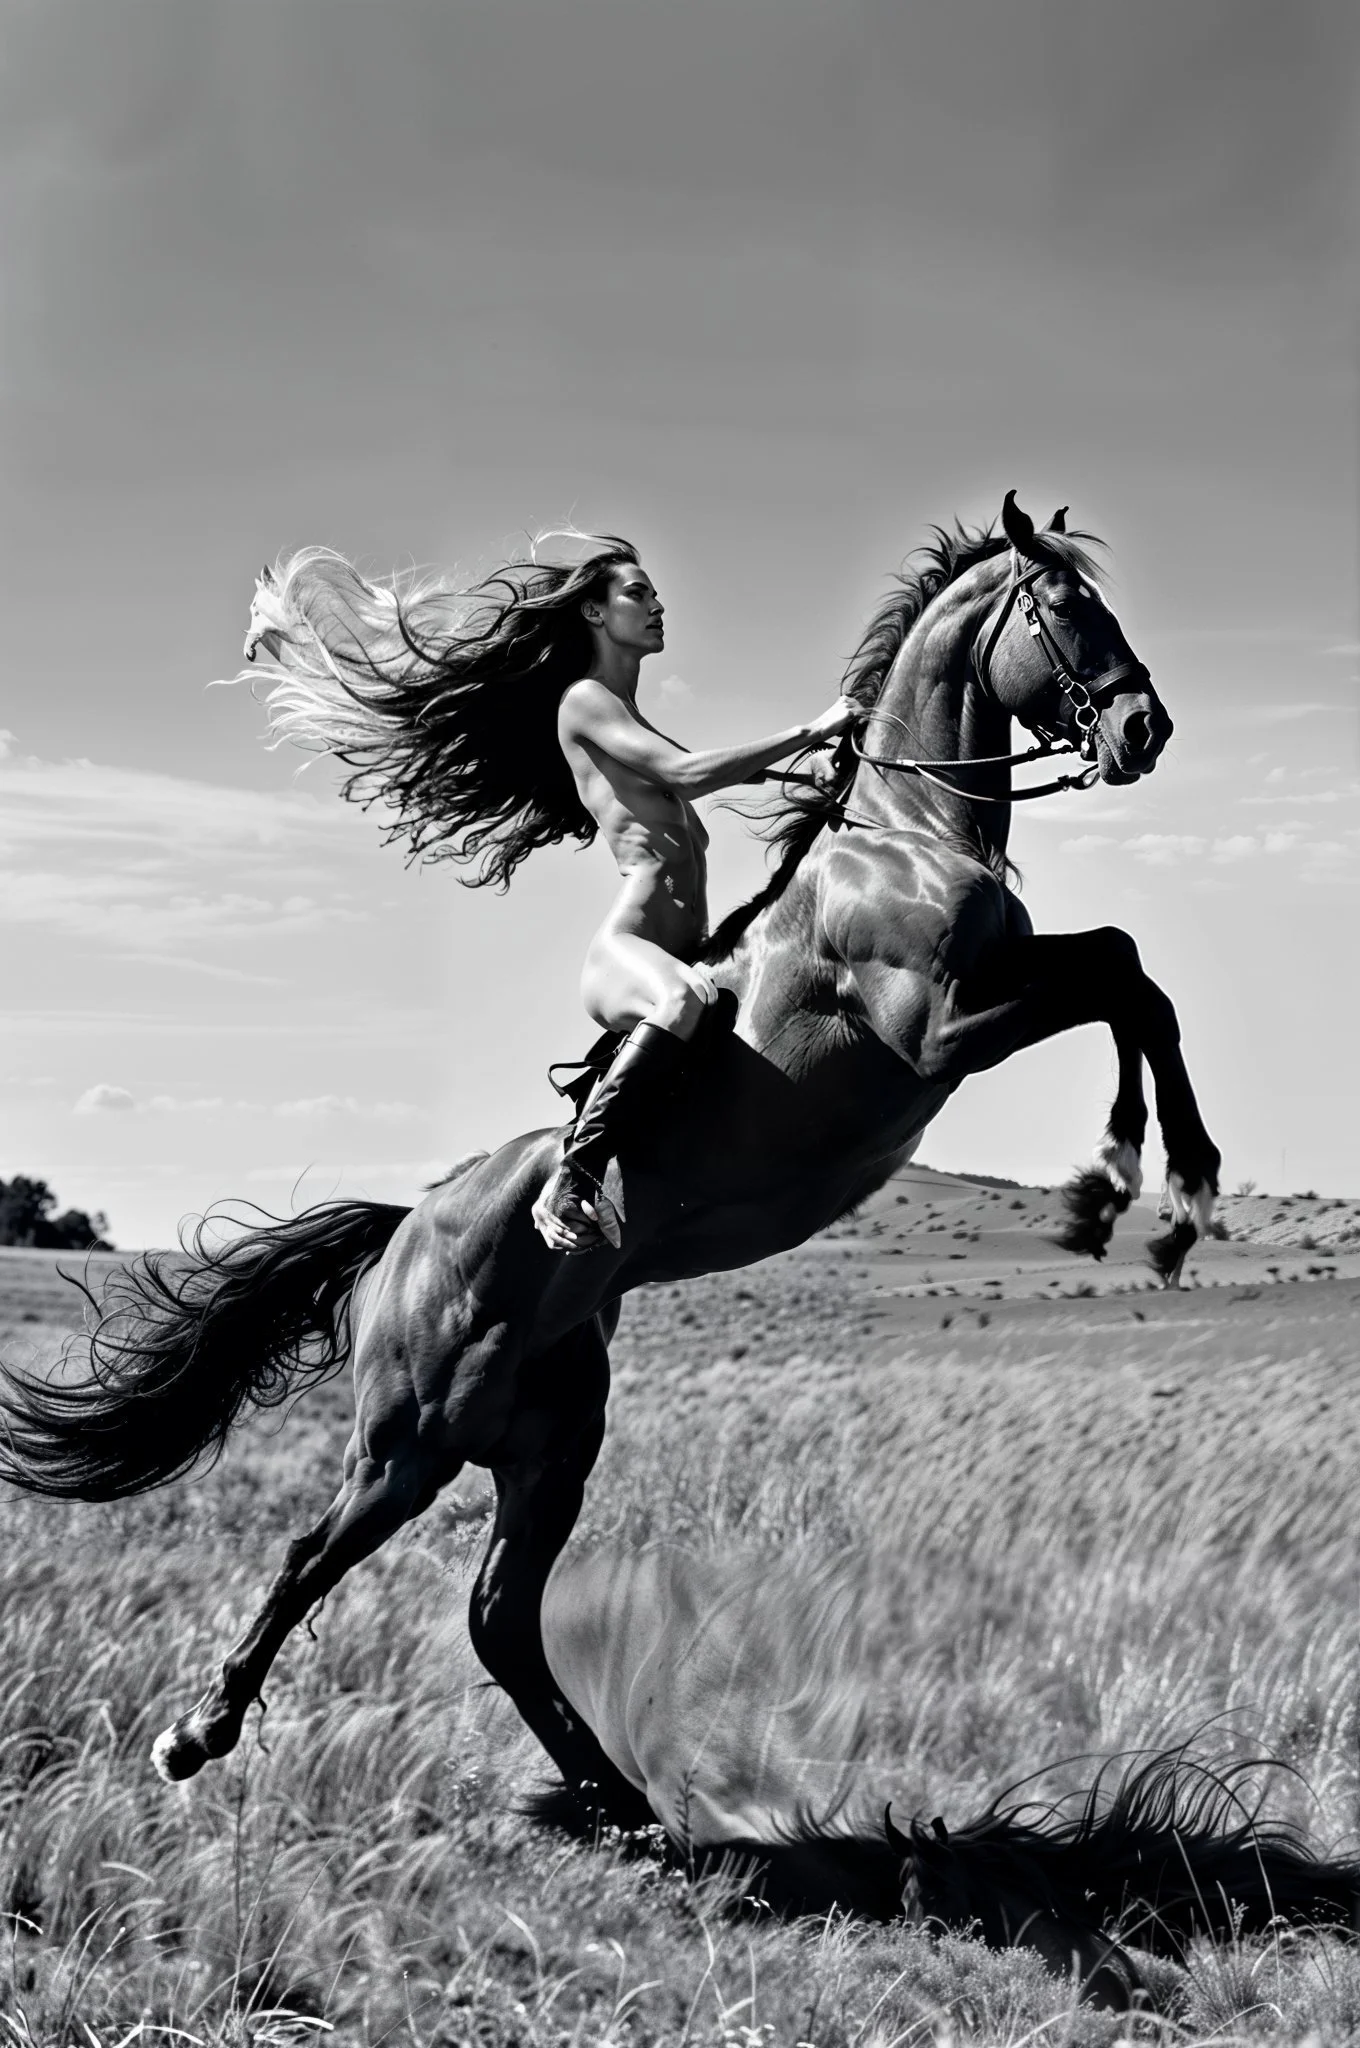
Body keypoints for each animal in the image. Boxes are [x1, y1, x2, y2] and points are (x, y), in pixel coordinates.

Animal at [0, 492, 1220, 1842]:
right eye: (1064, 606)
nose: (1144, 728)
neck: (903, 840)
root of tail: (404, 1230)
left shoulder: (1000, 993)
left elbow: (1132, 970)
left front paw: (1155, 1196)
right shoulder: (943, 1026)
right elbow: (1119, 977)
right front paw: (1128, 1186)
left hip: (548, 1440)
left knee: (497, 1614)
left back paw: (621, 1796)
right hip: (410, 1441)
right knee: (312, 1556)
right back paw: (195, 1734)